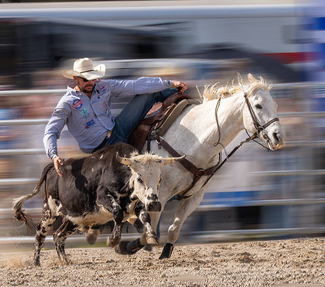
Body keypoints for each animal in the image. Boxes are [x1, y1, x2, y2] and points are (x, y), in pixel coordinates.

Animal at [115, 73, 284, 260]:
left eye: (275, 105)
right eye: (258, 105)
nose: (278, 137)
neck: (197, 140)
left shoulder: (194, 196)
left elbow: (173, 229)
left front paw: (165, 253)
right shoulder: (159, 194)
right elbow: (149, 231)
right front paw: (126, 246)